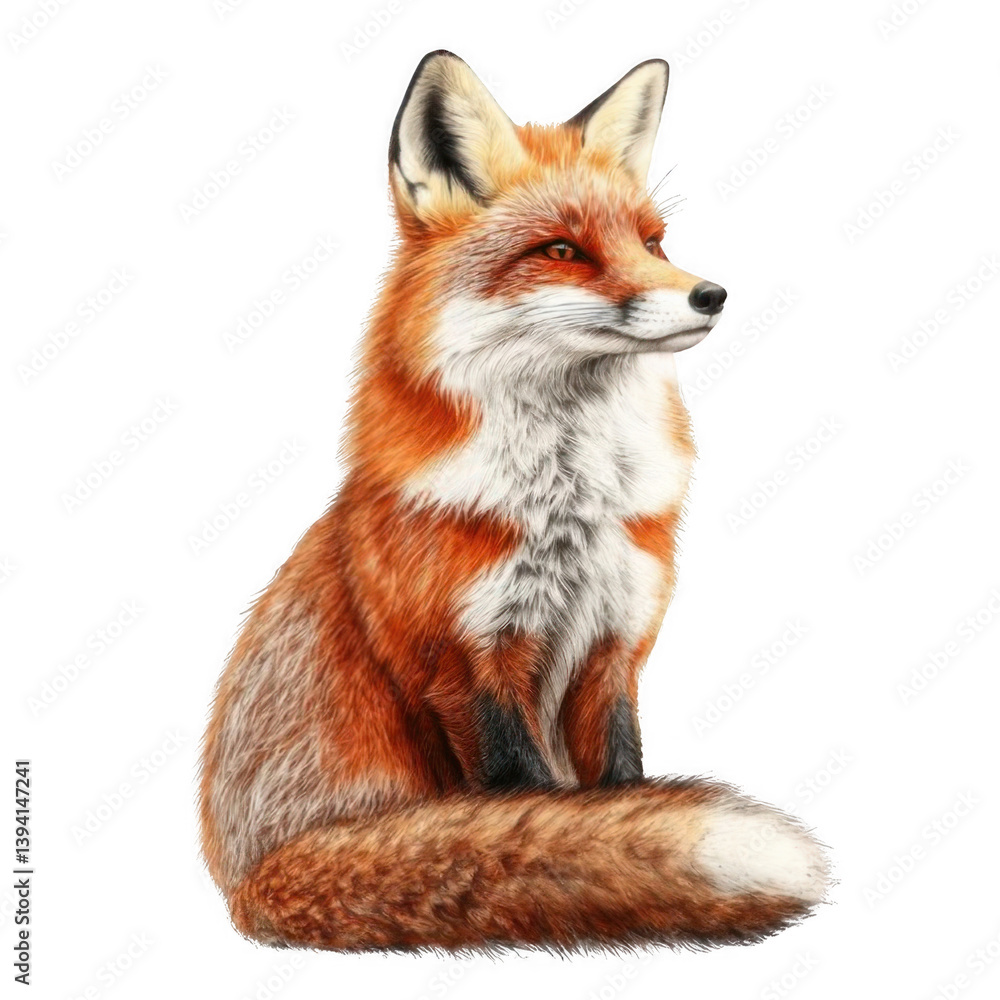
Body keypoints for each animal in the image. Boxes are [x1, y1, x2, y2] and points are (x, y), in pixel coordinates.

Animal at [199, 50, 829, 952]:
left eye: (652, 242)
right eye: (562, 249)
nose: (710, 294)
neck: (568, 508)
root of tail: (244, 883)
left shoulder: (614, 647)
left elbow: (620, 784)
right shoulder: (465, 662)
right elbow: (529, 798)